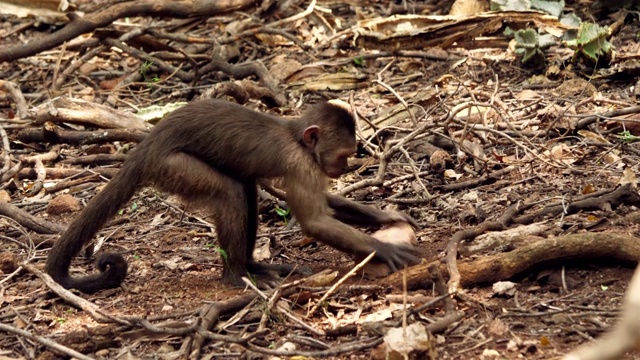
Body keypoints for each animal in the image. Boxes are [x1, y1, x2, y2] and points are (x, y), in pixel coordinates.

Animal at [43, 98, 416, 292]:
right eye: (343, 155)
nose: (346, 167)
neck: (296, 137)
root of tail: (147, 144)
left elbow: (327, 207)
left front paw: (387, 216)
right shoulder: (301, 162)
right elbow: (314, 221)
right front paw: (382, 247)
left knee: (246, 190)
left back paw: (254, 265)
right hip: (170, 166)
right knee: (230, 193)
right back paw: (238, 276)